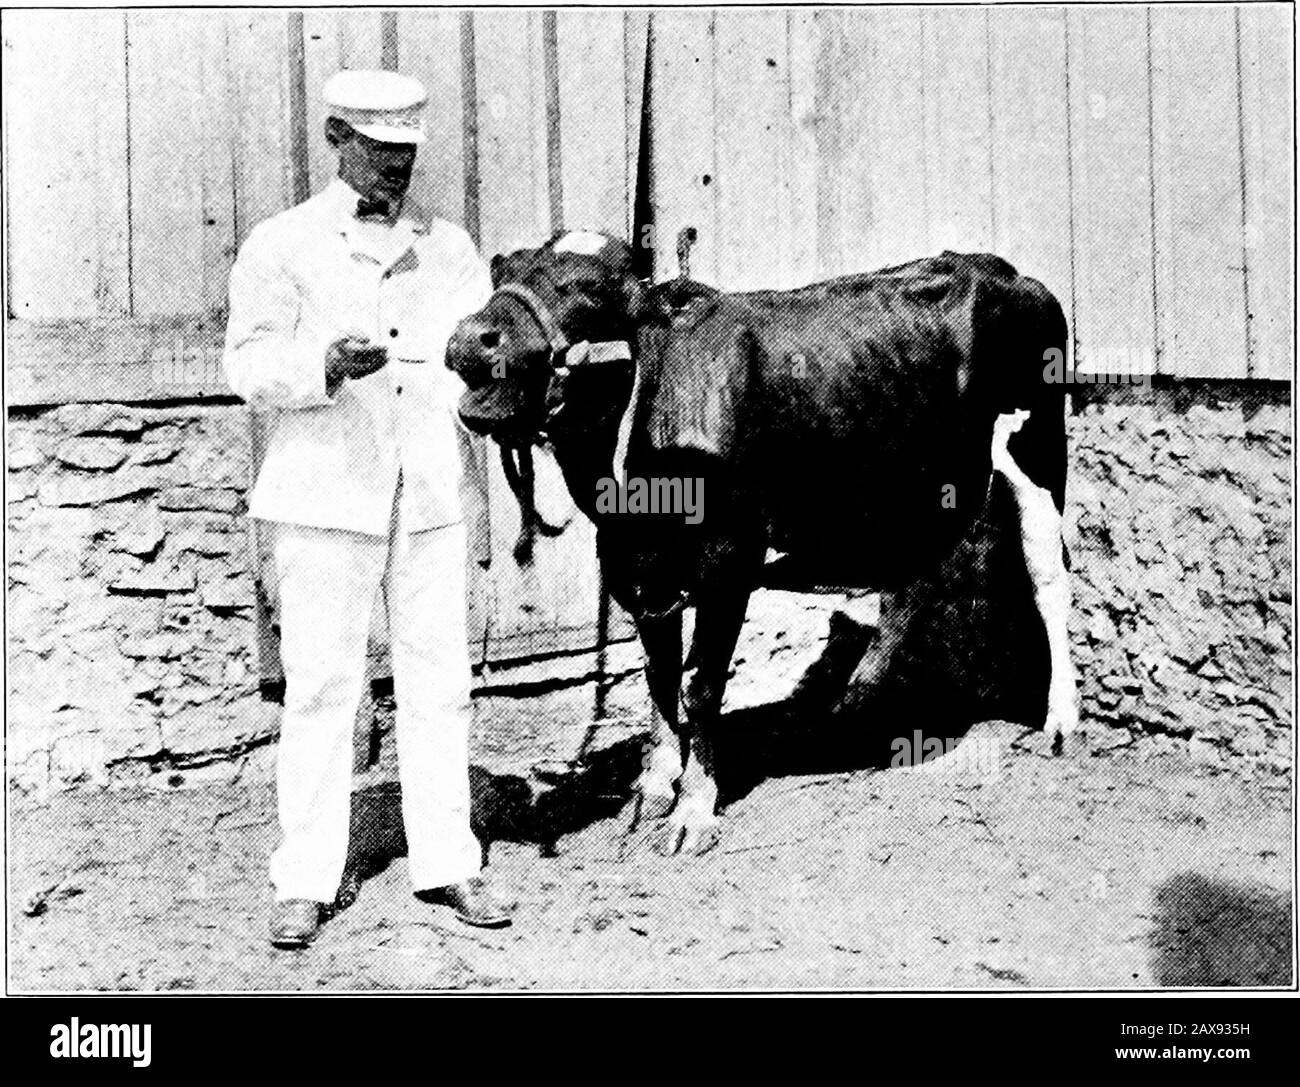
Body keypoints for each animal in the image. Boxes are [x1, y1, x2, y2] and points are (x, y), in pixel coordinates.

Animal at [444, 231, 1076, 858]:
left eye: (586, 288)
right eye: (503, 272)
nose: (470, 339)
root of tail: (995, 267)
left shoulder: (729, 559)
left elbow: (700, 687)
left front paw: (694, 810)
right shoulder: (633, 562)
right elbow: (658, 675)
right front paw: (655, 784)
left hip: (1036, 444)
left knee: (1048, 580)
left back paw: (1061, 717)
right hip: (916, 482)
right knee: (917, 577)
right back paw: (858, 696)